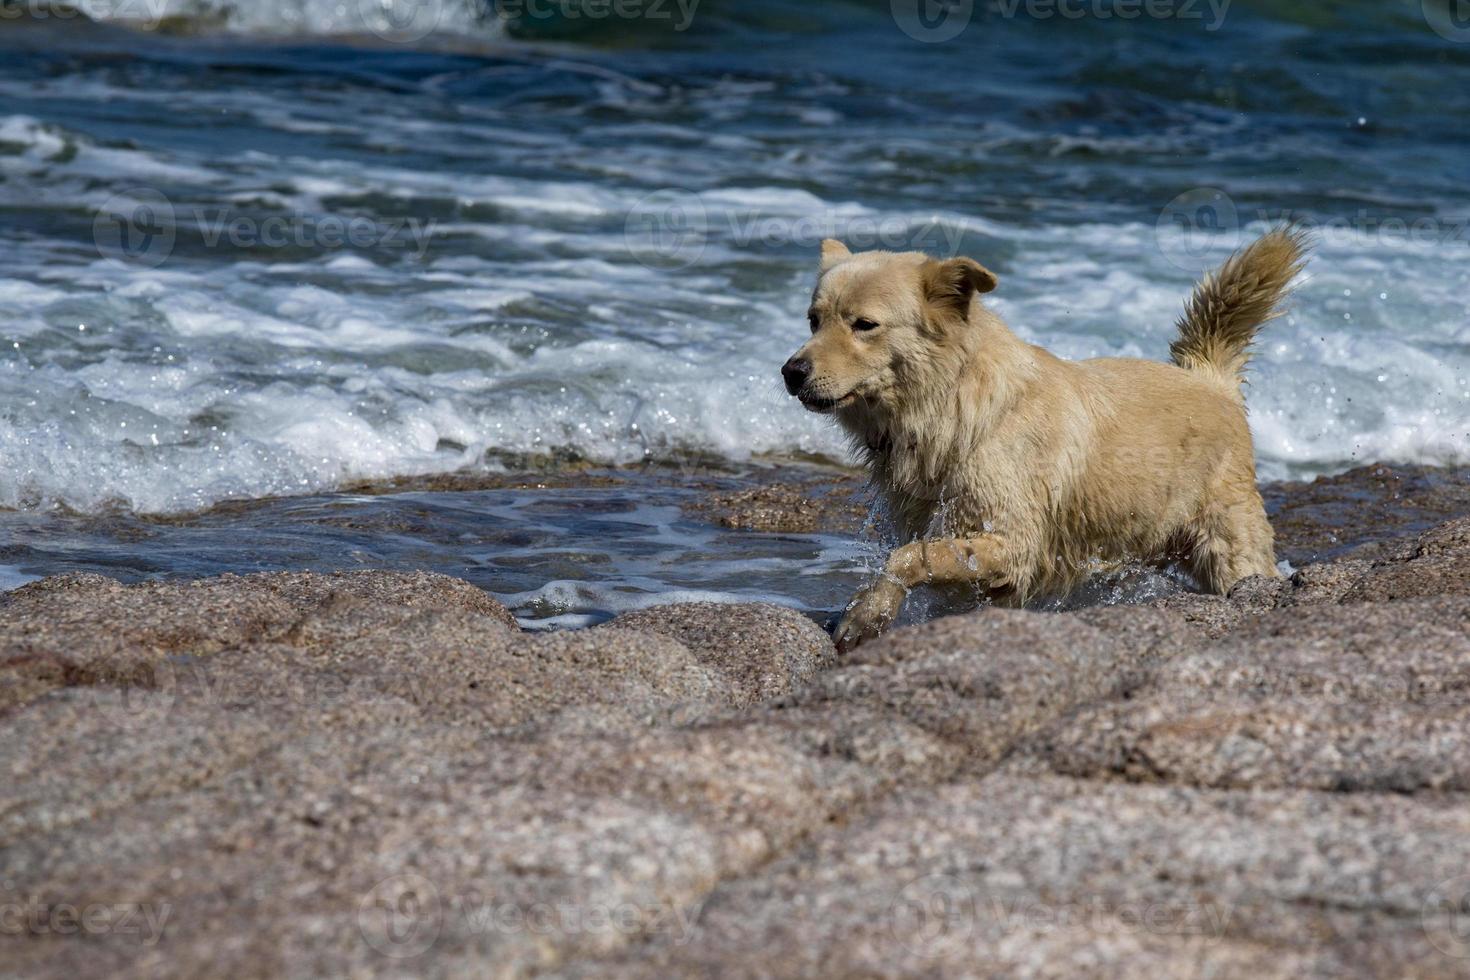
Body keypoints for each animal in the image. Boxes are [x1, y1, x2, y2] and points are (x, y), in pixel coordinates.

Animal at [782, 226, 1311, 646]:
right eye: (813, 319)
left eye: (864, 325)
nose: (791, 371)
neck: (954, 406)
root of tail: (1208, 377)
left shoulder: (1014, 540)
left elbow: (910, 556)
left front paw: (865, 615)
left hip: (1227, 542)